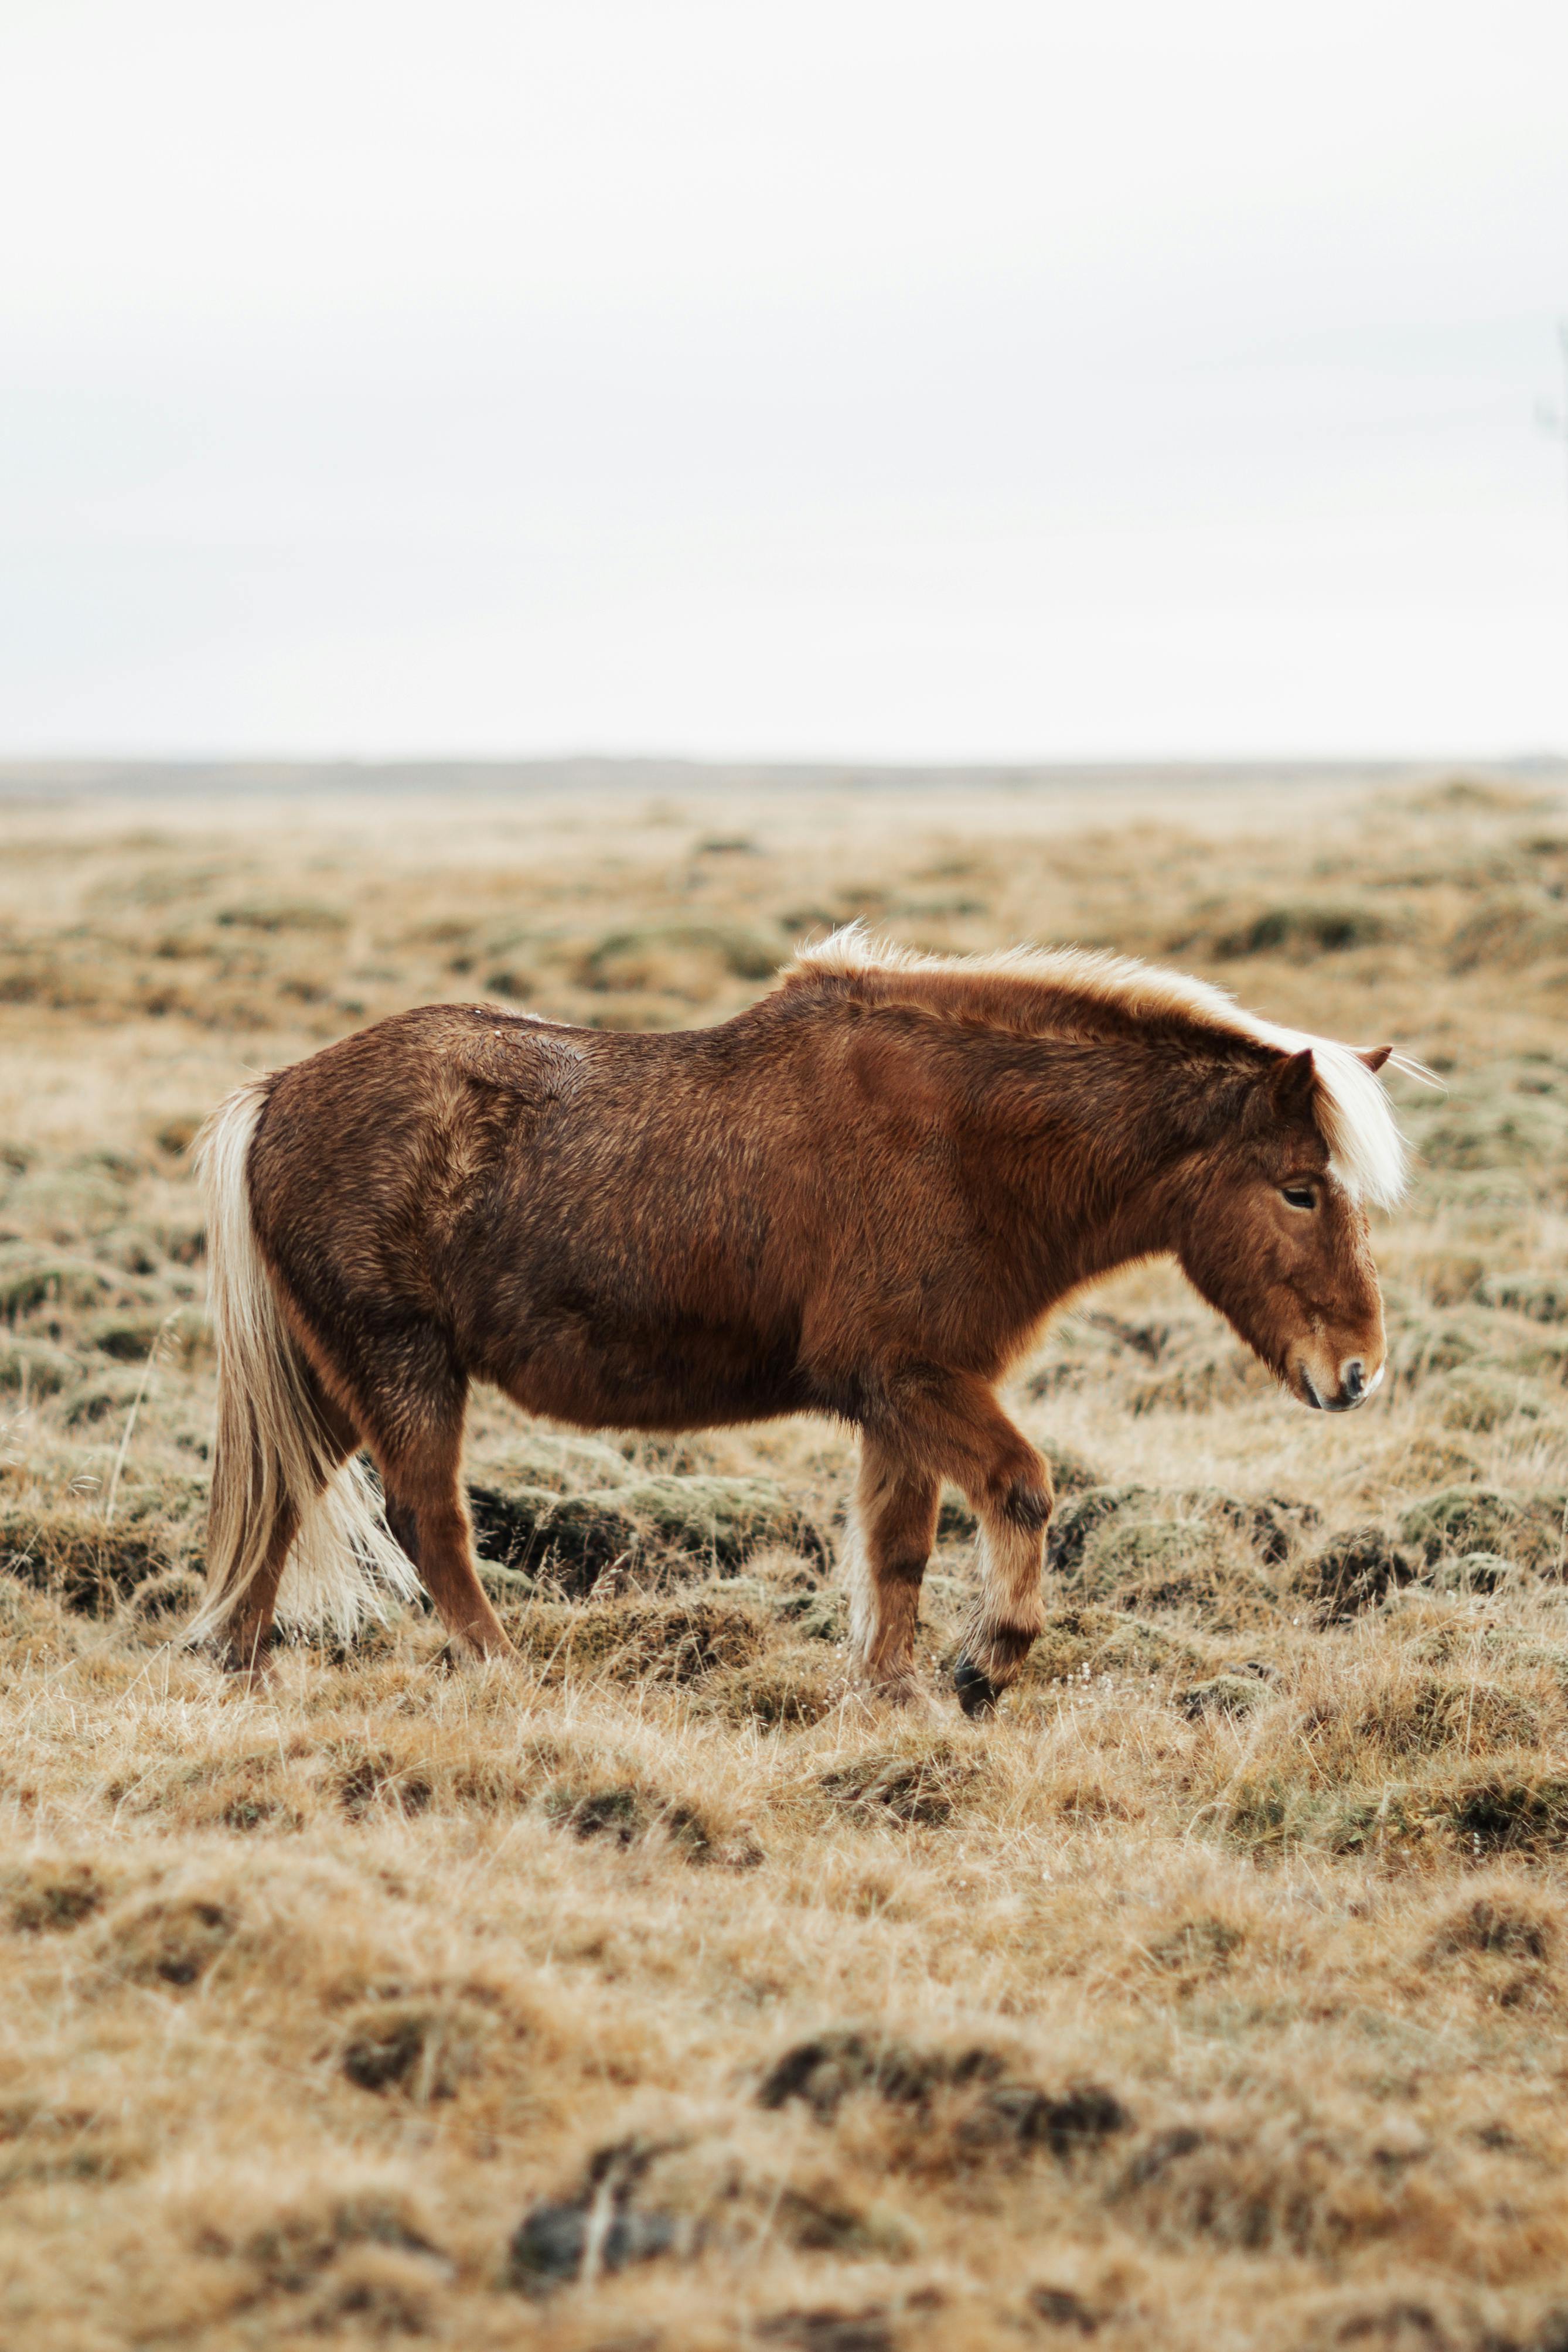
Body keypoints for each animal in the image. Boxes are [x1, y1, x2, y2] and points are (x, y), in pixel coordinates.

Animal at [190, 926, 1401, 1722]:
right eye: (1298, 1188)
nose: (1357, 1371)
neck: (963, 1142)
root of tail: (280, 1093)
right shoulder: (912, 1378)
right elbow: (1021, 1487)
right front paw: (985, 1665)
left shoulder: (904, 1397)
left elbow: (899, 1547)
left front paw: (890, 1691)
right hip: (402, 1365)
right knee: (428, 1519)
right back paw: (503, 1673)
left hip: (339, 1378)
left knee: (283, 1498)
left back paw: (241, 1665)